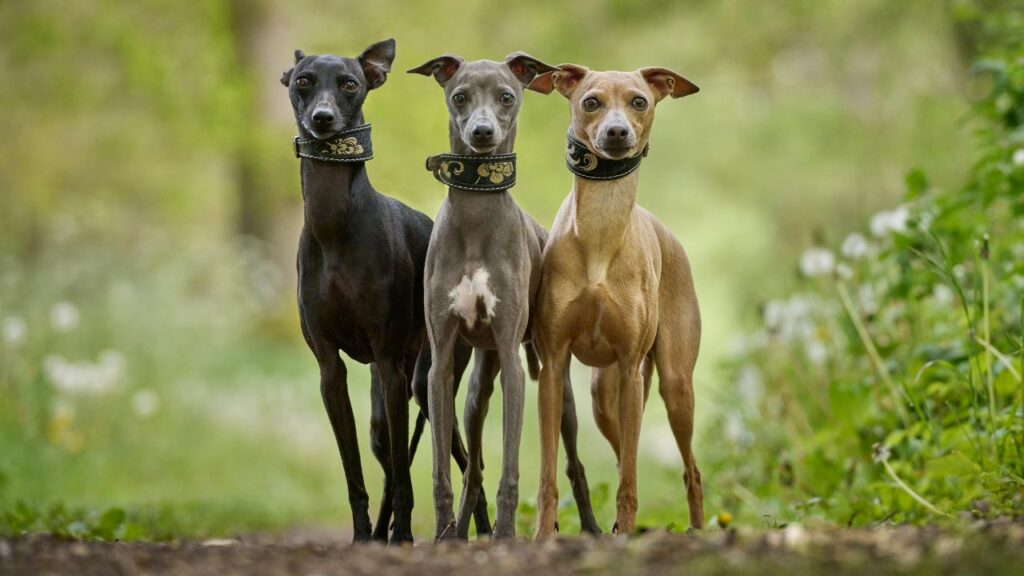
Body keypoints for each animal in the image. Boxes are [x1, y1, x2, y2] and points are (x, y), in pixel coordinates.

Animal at [280, 39, 487, 541]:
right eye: (302, 81)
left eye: (350, 84)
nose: (322, 119)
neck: (334, 225)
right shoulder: (330, 369)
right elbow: (358, 471)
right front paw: (363, 535)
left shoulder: (391, 364)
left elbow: (408, 473)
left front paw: (404, 535)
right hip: (388, 397)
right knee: (393, 461)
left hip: (427, 380)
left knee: (464, 461)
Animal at [407, 52, 598, 537]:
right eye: (459, 97)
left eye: (506, 97)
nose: (481, 133)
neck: (476, 216)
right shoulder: (440, 366)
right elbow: (442, 470)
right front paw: (443, 534)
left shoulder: (513, 361)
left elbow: (511, 469)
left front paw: (508, 532)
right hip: (477, 388)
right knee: (473, 467)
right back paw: (464, 531)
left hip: (558, 392)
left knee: (575, 464)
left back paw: (589, 526)